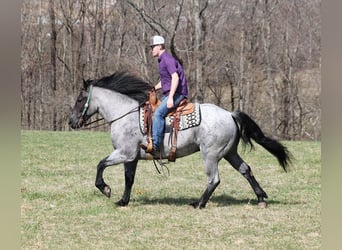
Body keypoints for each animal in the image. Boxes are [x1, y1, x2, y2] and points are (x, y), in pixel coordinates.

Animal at [69, 71, 292, 208]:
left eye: (80, 99)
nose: (71, 122)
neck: (125, 115)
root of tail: (230, 114)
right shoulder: (131, 158)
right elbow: (129, 179)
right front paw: (123, 201)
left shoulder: (124, 153)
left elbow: (100, 164)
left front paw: (105, 189)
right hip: (230, 152)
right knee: (246, 170)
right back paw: (261, 197)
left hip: (210, 155)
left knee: (214, 179)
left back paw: (199, 203)